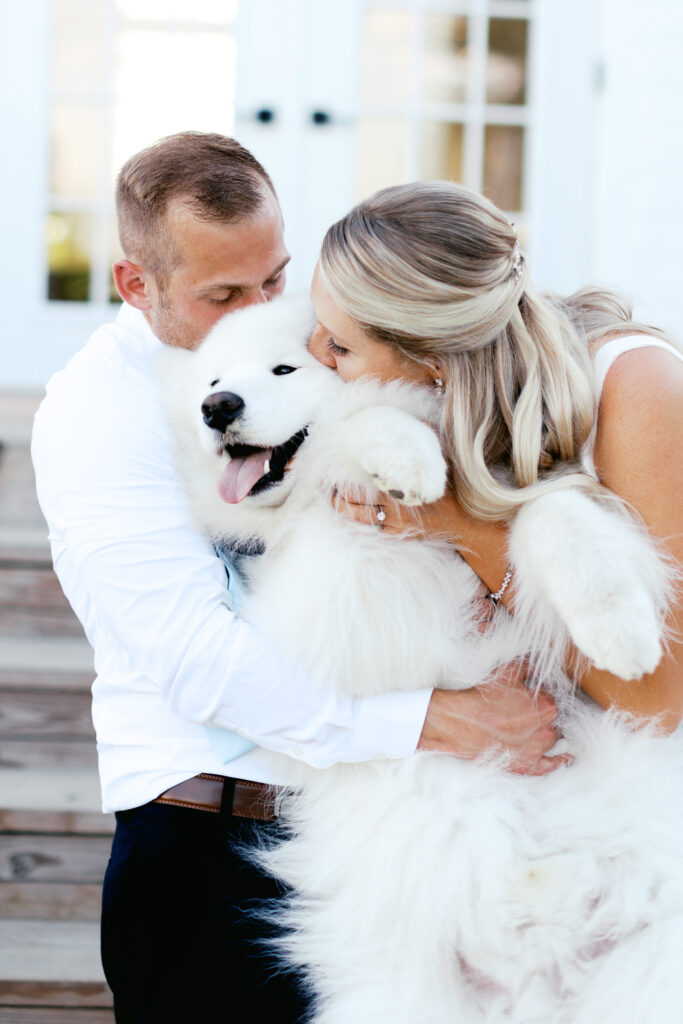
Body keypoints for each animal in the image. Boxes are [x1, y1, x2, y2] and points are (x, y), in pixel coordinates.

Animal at [161, 296, 683, 1024]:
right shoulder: (337, 584)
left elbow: (551, 514)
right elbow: (361, 431)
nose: (219, 408)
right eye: (211, 382)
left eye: (284, 368)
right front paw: (407, 458)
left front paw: (623, 633)